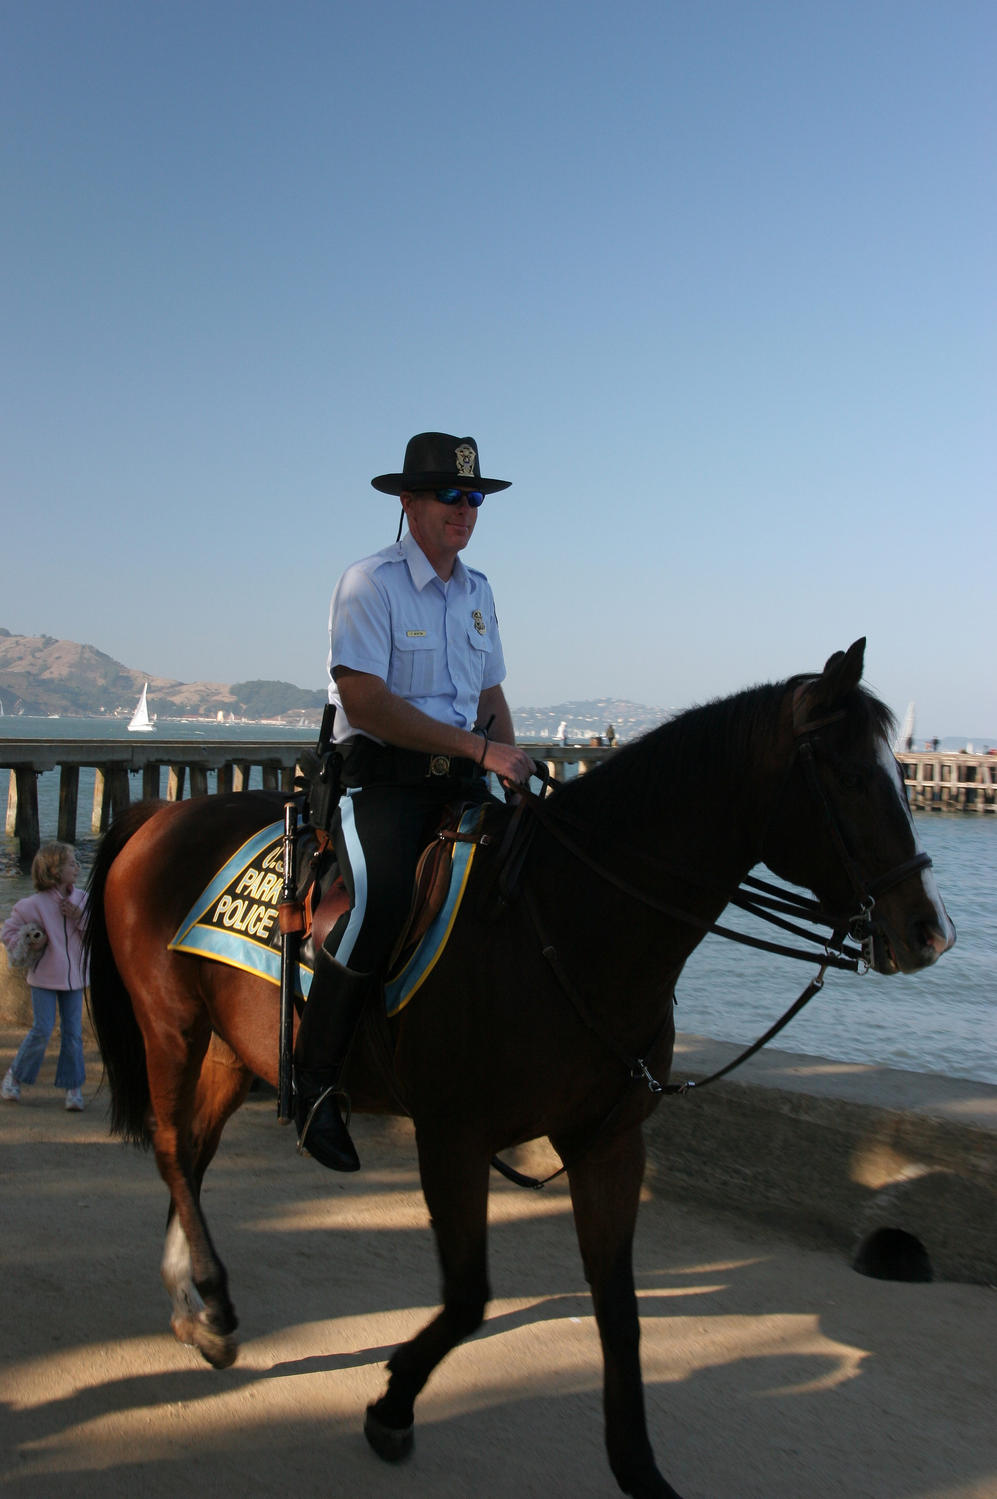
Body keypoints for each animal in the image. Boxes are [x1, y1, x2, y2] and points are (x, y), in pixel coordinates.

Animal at [84, 639, 954, 1499]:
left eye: (903, 773)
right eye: (849, 776)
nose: (929, 930)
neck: (568, 919)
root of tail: (161, 813)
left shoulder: (607, 1144)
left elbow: (618, 1308)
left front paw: (638, 1466)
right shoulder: (452, 1138)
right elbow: (469, 1298)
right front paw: (392, 1403)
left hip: (237, 1047)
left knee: (194, 1153)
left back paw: (194, 1304)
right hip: (172, 1024)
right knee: (172, 1146)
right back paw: (214, 1296)